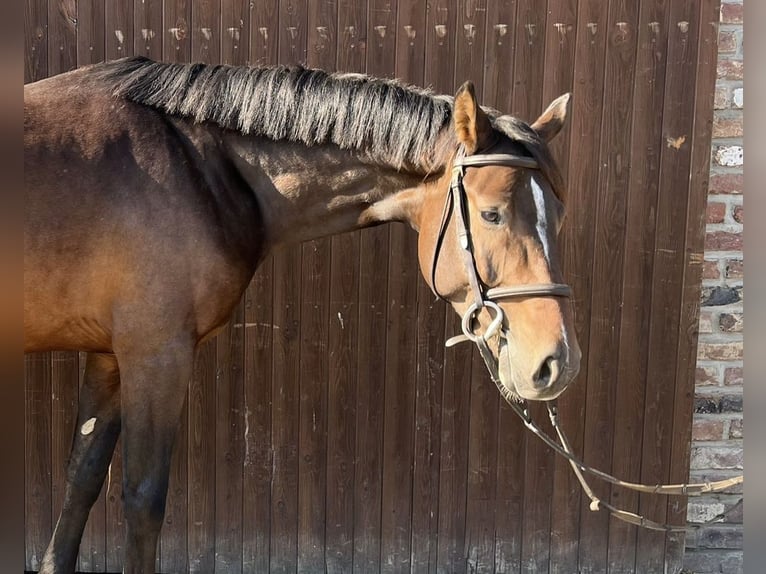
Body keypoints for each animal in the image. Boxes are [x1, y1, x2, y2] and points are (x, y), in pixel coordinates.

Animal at [25, 56, 584, 572]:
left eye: (559, 215)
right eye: (491, 214)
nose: (557, 362)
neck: (198, 166)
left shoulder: (109, 355)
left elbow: (81, 479)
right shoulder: (156, 355)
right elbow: (143, 500)